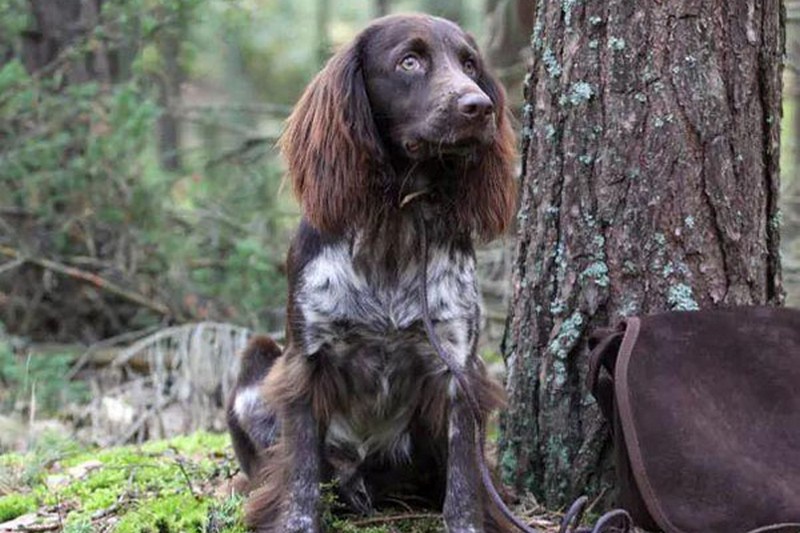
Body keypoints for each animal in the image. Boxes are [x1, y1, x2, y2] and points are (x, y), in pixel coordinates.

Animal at [230, 12, 520, 532]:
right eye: (409, 61)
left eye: (470, 63)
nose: (480, 106)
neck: (395, 224)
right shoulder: (305, 362)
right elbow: (300, 476)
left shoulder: (459, 366)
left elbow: (465, 481)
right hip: (257, 360)